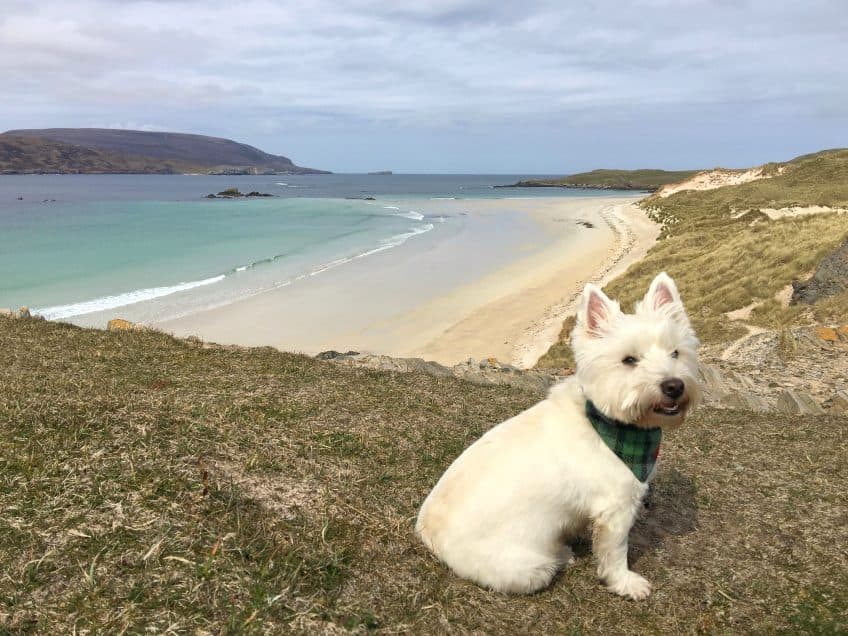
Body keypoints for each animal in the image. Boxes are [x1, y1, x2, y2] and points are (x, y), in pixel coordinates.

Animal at [418, 270, 704, 600]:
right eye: (629, 360)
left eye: (675, 353)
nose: (674, 386)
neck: (609, 424)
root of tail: (428, 533)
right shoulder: (616, 509)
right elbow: (614, 553)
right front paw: (625, 583)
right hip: (529, 568)